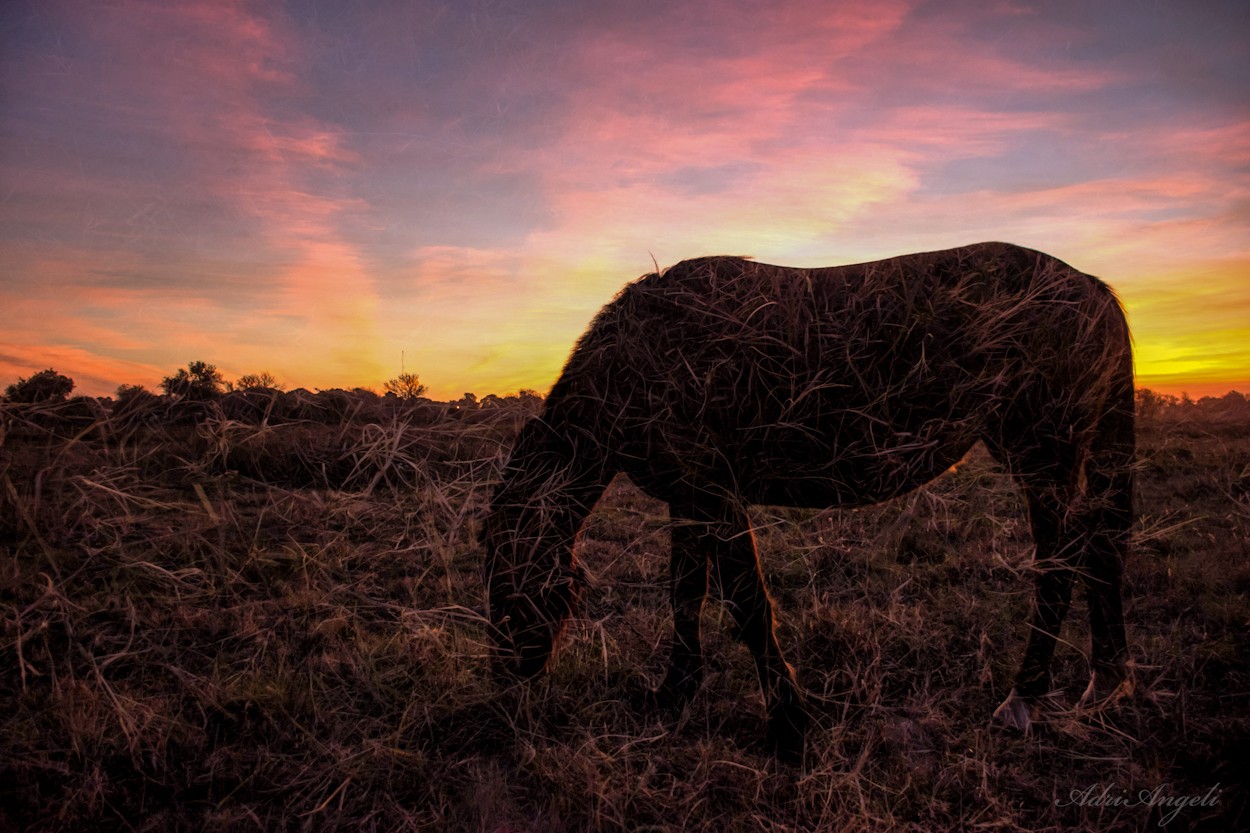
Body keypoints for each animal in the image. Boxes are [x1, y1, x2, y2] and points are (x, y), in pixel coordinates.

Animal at [485, 241, 1135, 760]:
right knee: (1102, 549)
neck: (638, 359)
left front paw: (789, 725)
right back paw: (1105, 686)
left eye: (510, 577)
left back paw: (1023, 699)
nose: (506, 690)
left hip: (1044, 462)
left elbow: (746, 603)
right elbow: (685, 595)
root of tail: (1094, 291)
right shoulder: (689, 500)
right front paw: (673, 693)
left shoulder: (715, 494)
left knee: (1062, 564)